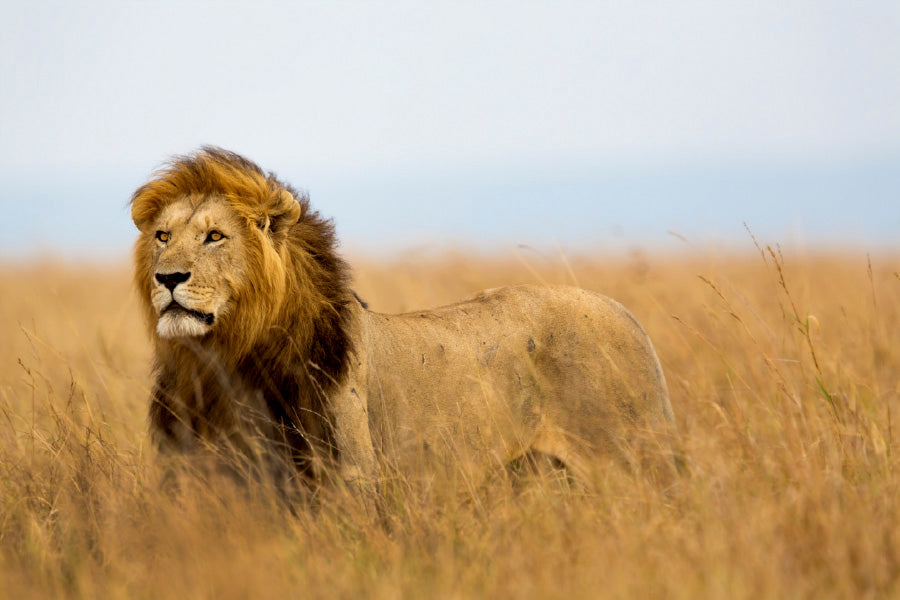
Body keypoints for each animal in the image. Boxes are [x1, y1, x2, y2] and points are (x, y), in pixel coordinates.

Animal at [130, 146, 672, 496]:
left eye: (215, 236)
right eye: (162, 236)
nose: (168, 277)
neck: (222, 361)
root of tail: (627, 315)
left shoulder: (347, 479)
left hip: (633, 463)